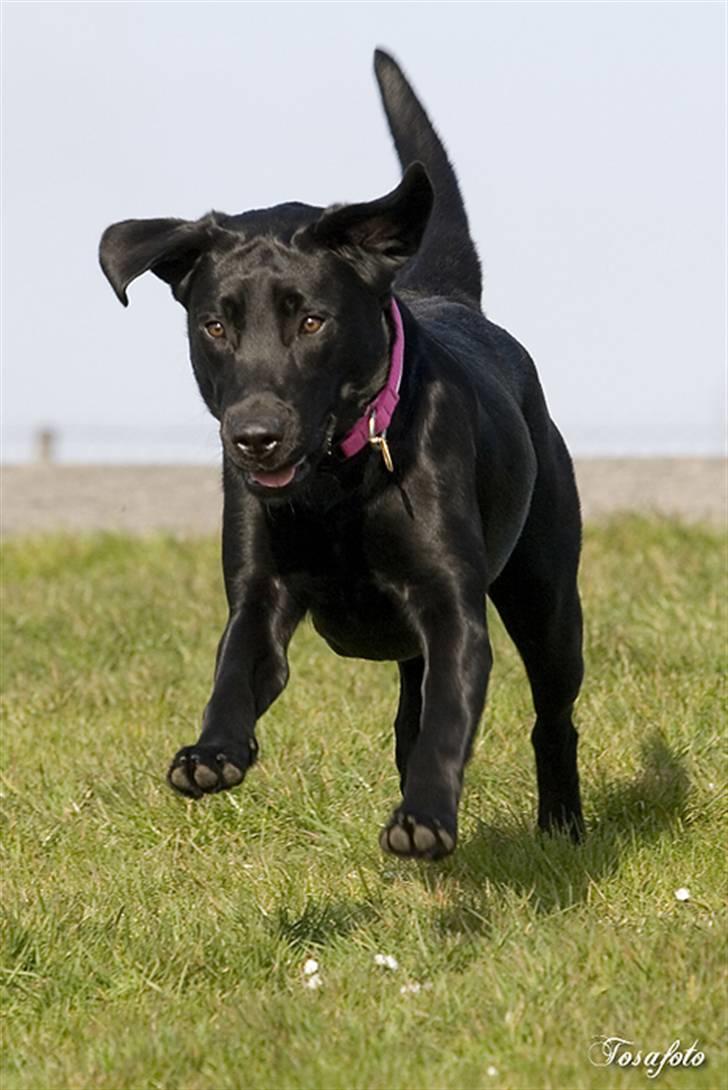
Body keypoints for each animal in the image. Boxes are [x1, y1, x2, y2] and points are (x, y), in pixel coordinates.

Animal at [99, 51, 584, 854]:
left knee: (552, 715)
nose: (254, 436)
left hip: (547, 594)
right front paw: (212, 752)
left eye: (313, 322)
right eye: (215, 325)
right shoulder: (260, 592)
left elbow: (452, 716)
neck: (338, 486)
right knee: (410, 715)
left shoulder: (452, 606)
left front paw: (425, 819)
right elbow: (235, 668)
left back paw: (562, 825)